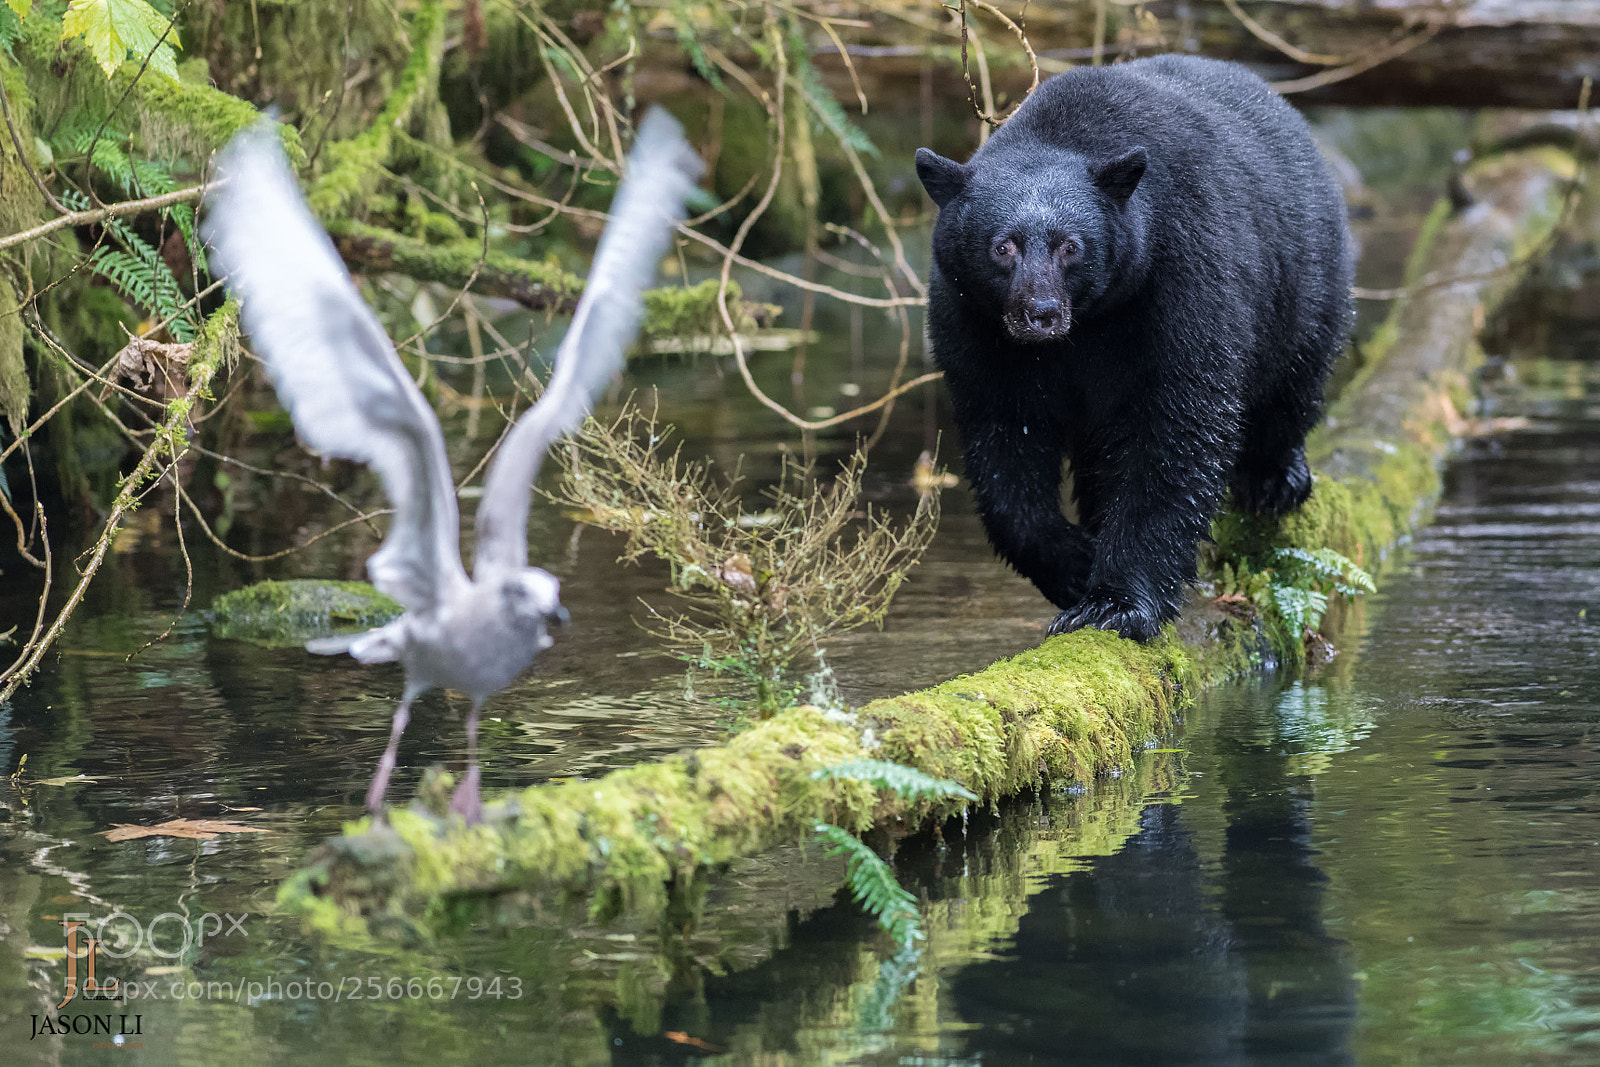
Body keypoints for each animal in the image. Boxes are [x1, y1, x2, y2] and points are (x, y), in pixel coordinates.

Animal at [916, 54, 1351, 642]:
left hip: (1304, 279)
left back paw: (1274, 479)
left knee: (1294, 379)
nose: (1040, 314)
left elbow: (1174, 428)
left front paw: (1115, 603)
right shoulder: (976, 324)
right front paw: (1074, 563)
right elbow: (1004, 437)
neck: (1087, 323)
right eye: (1002, 247)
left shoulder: (1181, 275)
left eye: (1070, 246)